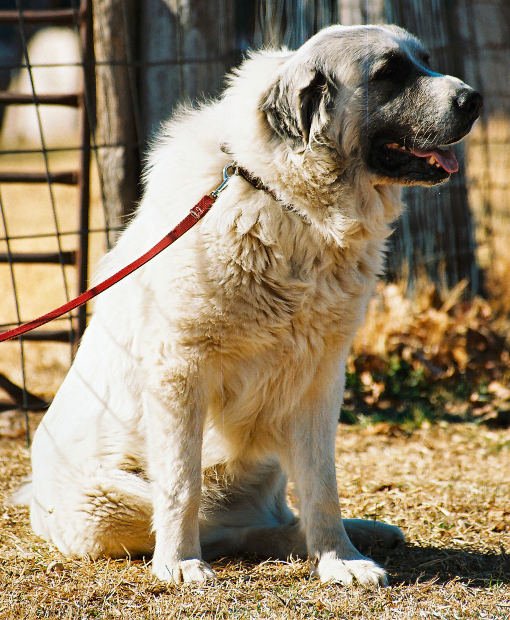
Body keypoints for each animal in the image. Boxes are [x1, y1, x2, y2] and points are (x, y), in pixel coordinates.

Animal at [25, 24, 480, 588]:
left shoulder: (321, 377)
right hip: (108, 503)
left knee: (272, 519)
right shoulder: (179, 372)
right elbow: (182, 484)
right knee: (215, 524)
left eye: (425, 60)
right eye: (389, 73)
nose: (474, 100)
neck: (288, 201)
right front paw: (179, 563)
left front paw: (340, 558)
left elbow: (322, 485)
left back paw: (356, 535)